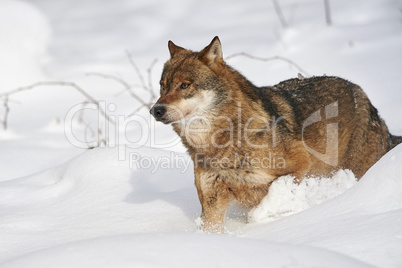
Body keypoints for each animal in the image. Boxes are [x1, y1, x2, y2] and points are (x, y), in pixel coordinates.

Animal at [149, 37, 400, 232]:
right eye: (163, 85)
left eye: (184, 85)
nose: (155, 110)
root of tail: (365, 98)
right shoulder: (213, 201)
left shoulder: (298, 166)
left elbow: (268, 202)